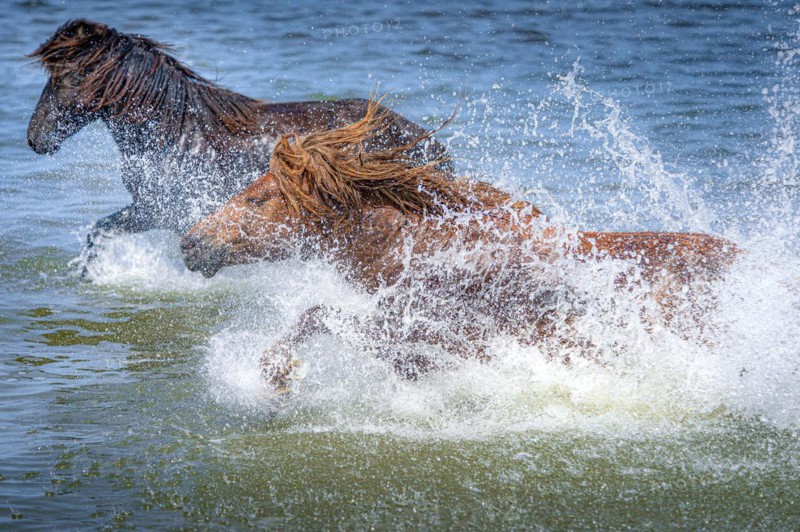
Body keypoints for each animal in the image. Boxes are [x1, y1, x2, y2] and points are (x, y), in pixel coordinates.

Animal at [27, 19, 450, 244]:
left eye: (62, 77)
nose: (34, 139)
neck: (172, 137)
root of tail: (428, 142)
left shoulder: (164, 212)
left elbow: (101, 233)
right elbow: (99, 232)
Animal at [180, 100, 739, 391]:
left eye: (256, 198)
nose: (190, 243)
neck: (420, 246)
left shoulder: (438, 332)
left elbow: (322, 316)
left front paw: (277, 371)